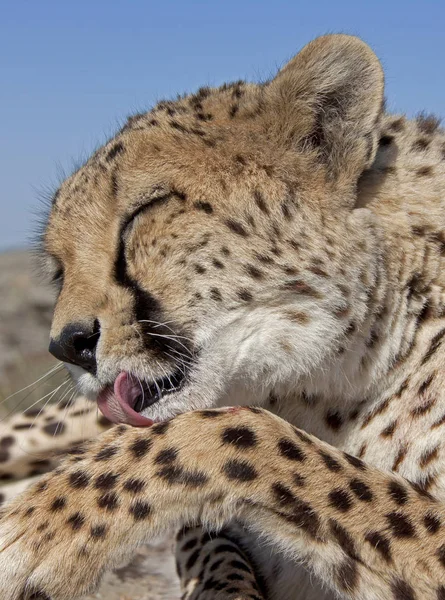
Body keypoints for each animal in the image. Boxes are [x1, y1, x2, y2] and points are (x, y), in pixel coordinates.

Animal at [0, 34, 444, 600]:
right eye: (59, 268)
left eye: (144, 212)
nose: (68, 344)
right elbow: (217, 538)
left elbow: (231, 431)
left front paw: (38, 527)